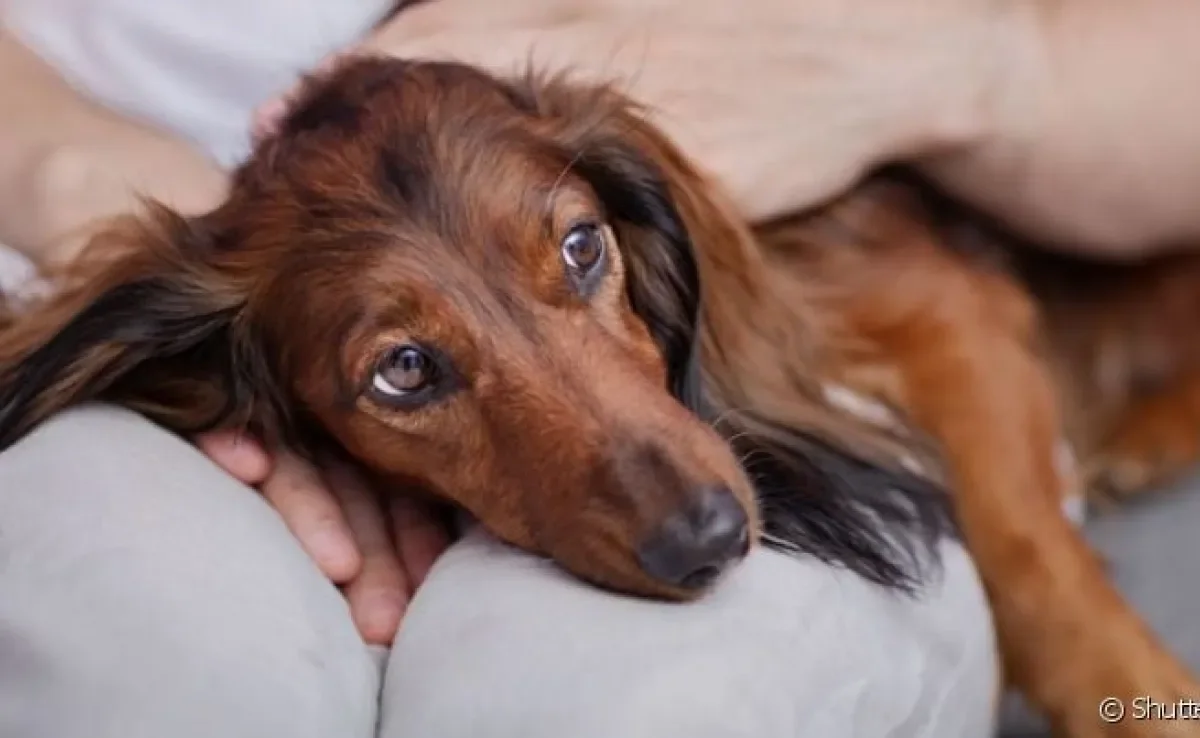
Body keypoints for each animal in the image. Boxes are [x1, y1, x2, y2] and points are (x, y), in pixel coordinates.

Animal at [0, 60, 1195, 734]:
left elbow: (1029, 551)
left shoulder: (943, 304)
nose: (706, 541)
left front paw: (1130, 693)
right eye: (403, 370)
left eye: (582, 247)